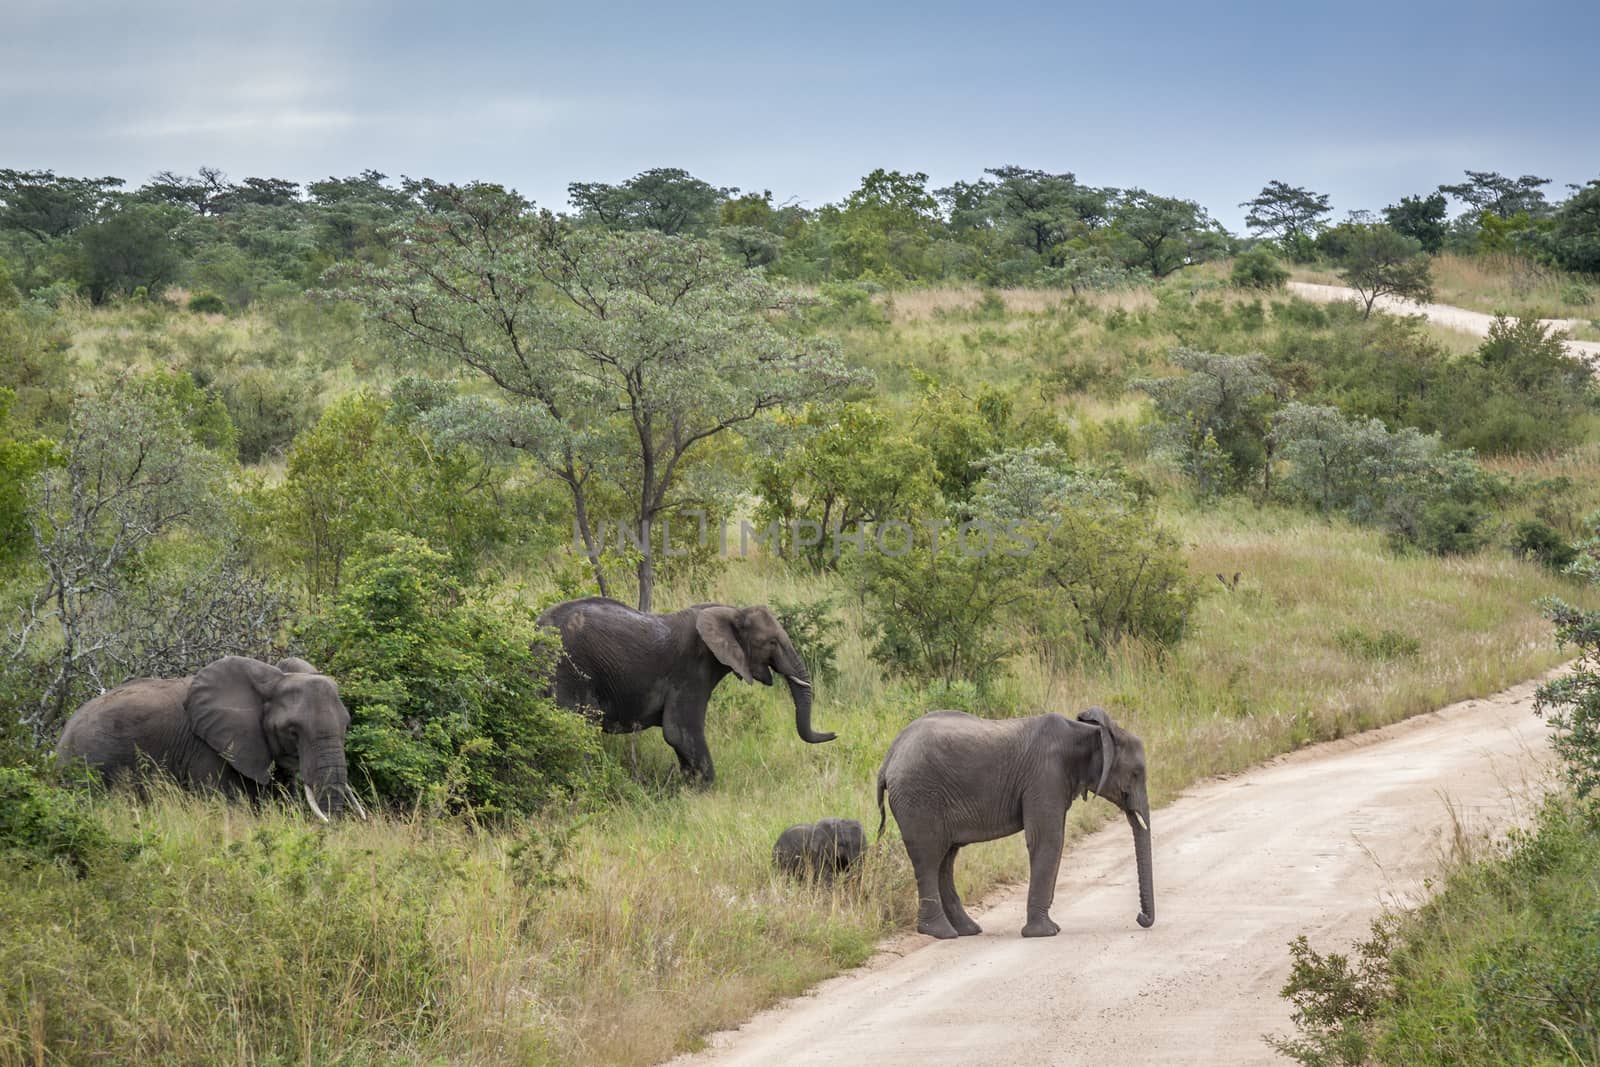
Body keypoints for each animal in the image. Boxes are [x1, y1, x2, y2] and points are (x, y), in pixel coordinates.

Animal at [537, 598, 838, 790]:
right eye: (772, 642)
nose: (834, 734)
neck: (731, 611)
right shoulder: (692, 670)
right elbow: (679, 732)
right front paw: (703, 792)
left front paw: (685, 788)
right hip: (566, 670)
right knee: (577, 735)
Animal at [876, 713, 1152, 940]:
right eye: (1136, 773)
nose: (1141, 919)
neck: (1088, 732)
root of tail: (889, 757)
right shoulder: (1045, 777)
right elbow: (1048, 839)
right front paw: (1045, 933)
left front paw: (1050, 928)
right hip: (918, 798)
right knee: (929, 857)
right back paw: (940, 933)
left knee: (946, 858)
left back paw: (966, 930)